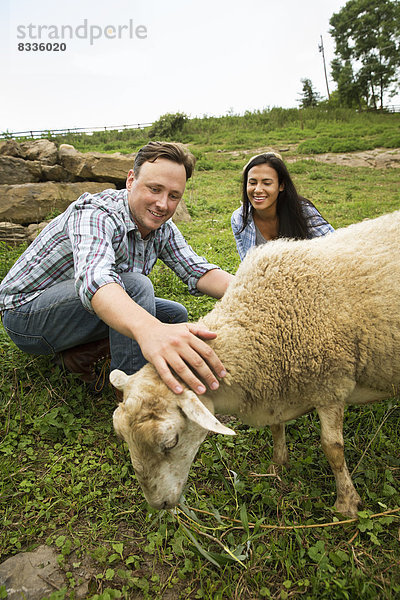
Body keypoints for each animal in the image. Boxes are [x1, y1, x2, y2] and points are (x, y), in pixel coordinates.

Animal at [110, 211, 400, 516]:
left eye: (171, 442)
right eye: (123, 436)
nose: (160, 505)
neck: (265, 320)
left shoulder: (331, 386)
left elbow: (332, 448)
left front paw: (346, 503)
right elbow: (276, 429)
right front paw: (277, 465)